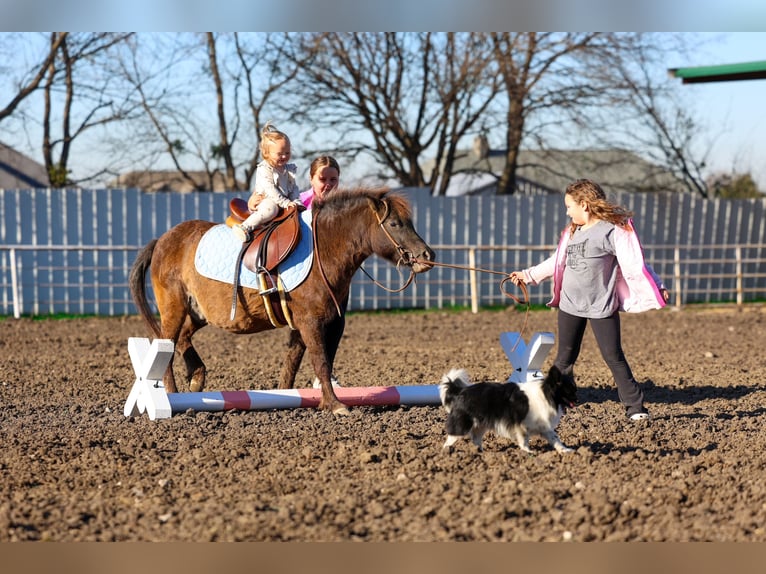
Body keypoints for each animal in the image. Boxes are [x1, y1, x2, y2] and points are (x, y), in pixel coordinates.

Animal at [129, 187, 435, 415]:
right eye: (394, 224)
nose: (427, 255)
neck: (325, 247)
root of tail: (162, 240)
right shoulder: (310, 322)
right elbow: (321, 362)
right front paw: (336, 405)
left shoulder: (320, 323)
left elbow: (296, 363)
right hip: (174, 308)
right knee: (166, 345)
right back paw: (172, 395)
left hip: (197, 312)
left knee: (182, 338)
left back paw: (197, 376)